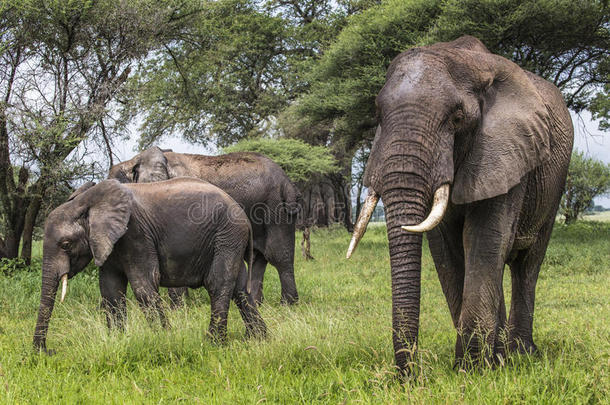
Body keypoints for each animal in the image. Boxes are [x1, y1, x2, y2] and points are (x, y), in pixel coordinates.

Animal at [33, 178, 264, 352]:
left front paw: (165, 339)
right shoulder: (108, 242)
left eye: (65, 244)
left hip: (227, 235)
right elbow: (110, 290)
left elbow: (143, 286)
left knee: (218, 283)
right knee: (240, 290)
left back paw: (212, 344)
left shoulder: (135, 234)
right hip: (230, 240)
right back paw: (258, 339)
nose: (48, 351)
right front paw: (118, 340)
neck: (86, 201)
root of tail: (244, 216)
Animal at [110, 148, 300, 304]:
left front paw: (178, 309)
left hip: (274, 209)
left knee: (279, 255)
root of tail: (287, 181)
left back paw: (288, 304)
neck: (135, 160)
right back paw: (258, 302)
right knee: (258, 259)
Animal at [344, 36, 572, 370]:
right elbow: (447, 251)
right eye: (377, 116)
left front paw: (472, 369)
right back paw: (502, 353)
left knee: (527, 265)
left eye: (457, 118)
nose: (409, 376)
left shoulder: (505, 151)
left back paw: (521, 354)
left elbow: (484, 239)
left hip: (553, 185)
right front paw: (478, 364)